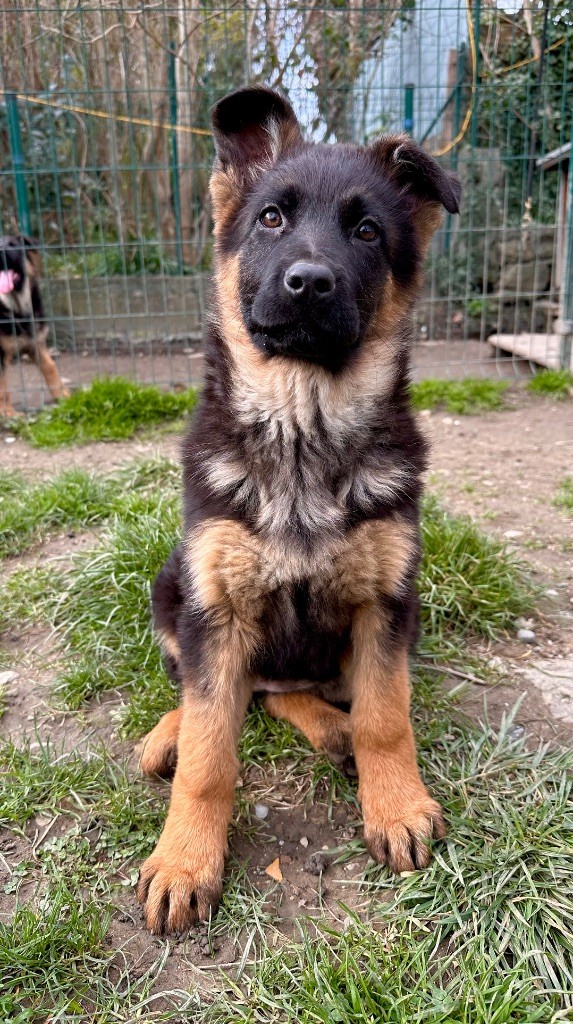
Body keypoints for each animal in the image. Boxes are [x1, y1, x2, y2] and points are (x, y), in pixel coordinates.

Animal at [0, 235, 69, 417]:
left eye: (13, 245)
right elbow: (2, 389)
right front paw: (7, 413)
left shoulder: (36, 344)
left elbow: (51, 369)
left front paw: (64, 396)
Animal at [136, 86, 461, 936]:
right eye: (272, 218)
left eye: (367, 231)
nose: (308, 282)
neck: (303, 423)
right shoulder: (215, 605)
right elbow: (212, 751)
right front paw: (184, 859)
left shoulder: (386, 604)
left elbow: (387, 716)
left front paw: (395, 805)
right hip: (172, 583)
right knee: (220, 691)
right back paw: (168, 733)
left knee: (290, 692)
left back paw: (334, 729)